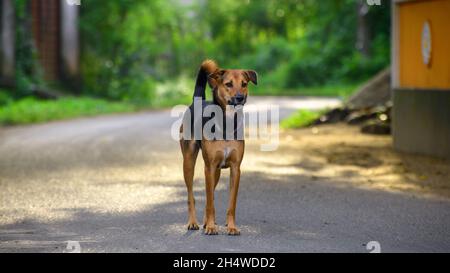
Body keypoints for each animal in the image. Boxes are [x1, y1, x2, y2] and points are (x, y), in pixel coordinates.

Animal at [179, 59, 256, 234]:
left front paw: (231, 227)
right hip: (189, 162)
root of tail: (197, 101)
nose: (240, 98)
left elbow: (231, 204)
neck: (227, 122)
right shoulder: (209, 167)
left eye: (244, 84)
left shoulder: (235, 169)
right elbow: (209, 202)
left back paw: (206, 222)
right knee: (191, 195)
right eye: (228, 84)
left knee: (211, 195)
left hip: (217, 172)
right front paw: (211, 227)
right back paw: (193, 222)